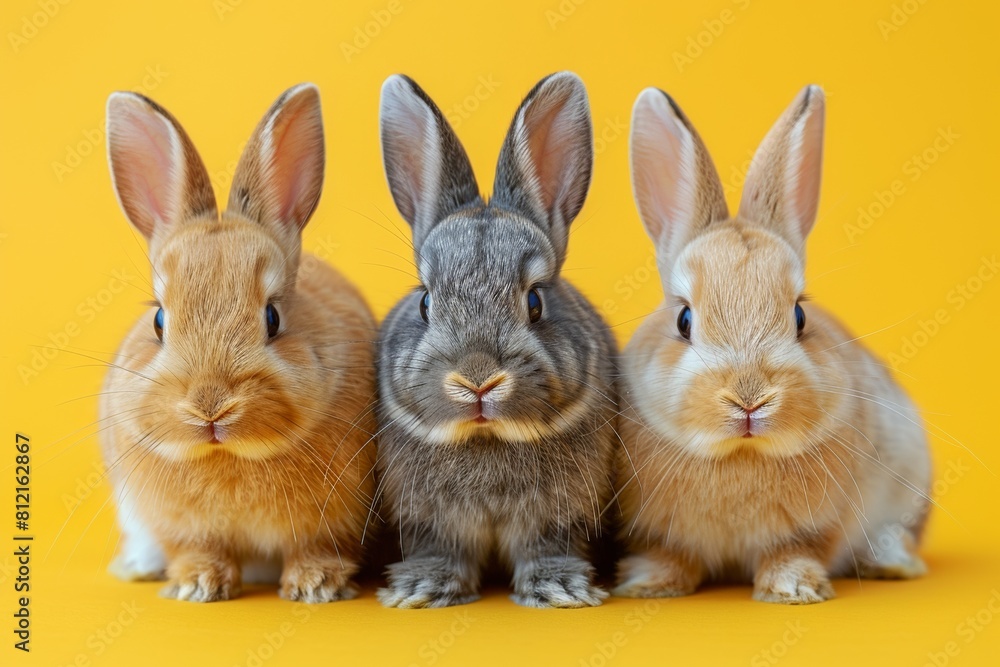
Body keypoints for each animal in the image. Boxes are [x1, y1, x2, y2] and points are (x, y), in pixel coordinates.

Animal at [100, 83, 378, 603]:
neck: (229, 455)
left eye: (273, 317)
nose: (210, 406)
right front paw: (197, 586)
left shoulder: (334, 522)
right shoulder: (179, 527)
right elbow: (198, 549)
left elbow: (313, 548)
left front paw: (316, 586)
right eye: (159, 320)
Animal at [373, 72, 619, 608]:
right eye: (425, 303)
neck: (486, 437)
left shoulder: (562, 513)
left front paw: (559, 590)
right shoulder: (424, 517)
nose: (478, 380)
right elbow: (437, 548)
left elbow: (548, 545)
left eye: (536, 302)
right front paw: (422, 589)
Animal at [614, 85, 932, 604]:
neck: (741, 455)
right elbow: (671, 555)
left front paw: (793, 589)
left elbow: (795, 551)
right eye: (683, 320)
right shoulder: (659, 532)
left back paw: (891, 562)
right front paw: (647, 584)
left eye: (800, 316)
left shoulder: (819, 526)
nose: (749, 399)